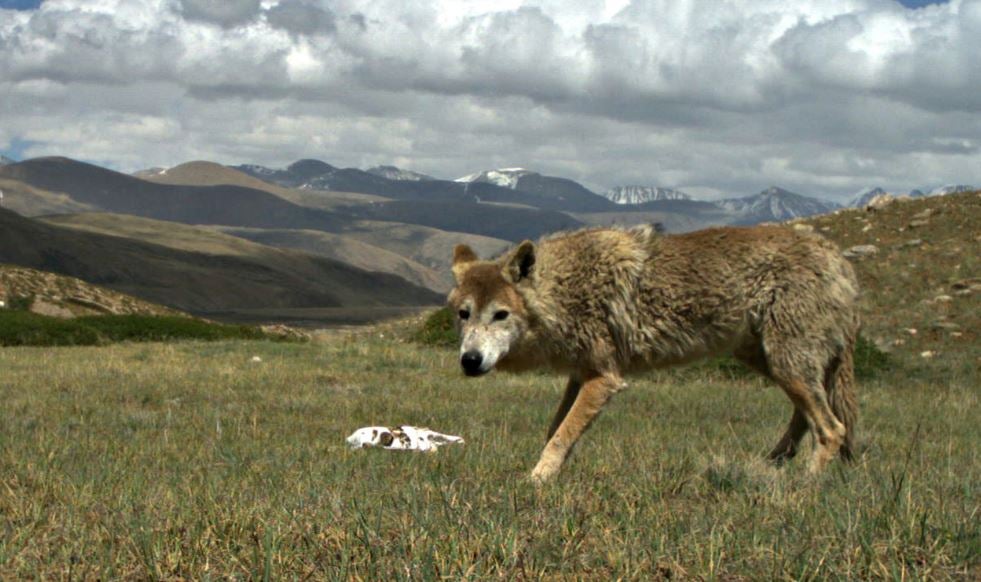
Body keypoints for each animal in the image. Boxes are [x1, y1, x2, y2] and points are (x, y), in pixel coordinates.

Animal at [448, 224, 860, 483]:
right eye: (464, 314)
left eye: (500, 315)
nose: (470, 361)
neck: (564, 292)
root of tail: (839, 260)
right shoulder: (580, 376)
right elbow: (555, 431)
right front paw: (551, 473)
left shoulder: (604, 380)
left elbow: (561, 436)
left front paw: (535, 481)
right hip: (774, 364)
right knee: (807, 419)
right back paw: (769, 468)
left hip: (786, 365)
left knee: (832, 429)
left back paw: (802, 486)